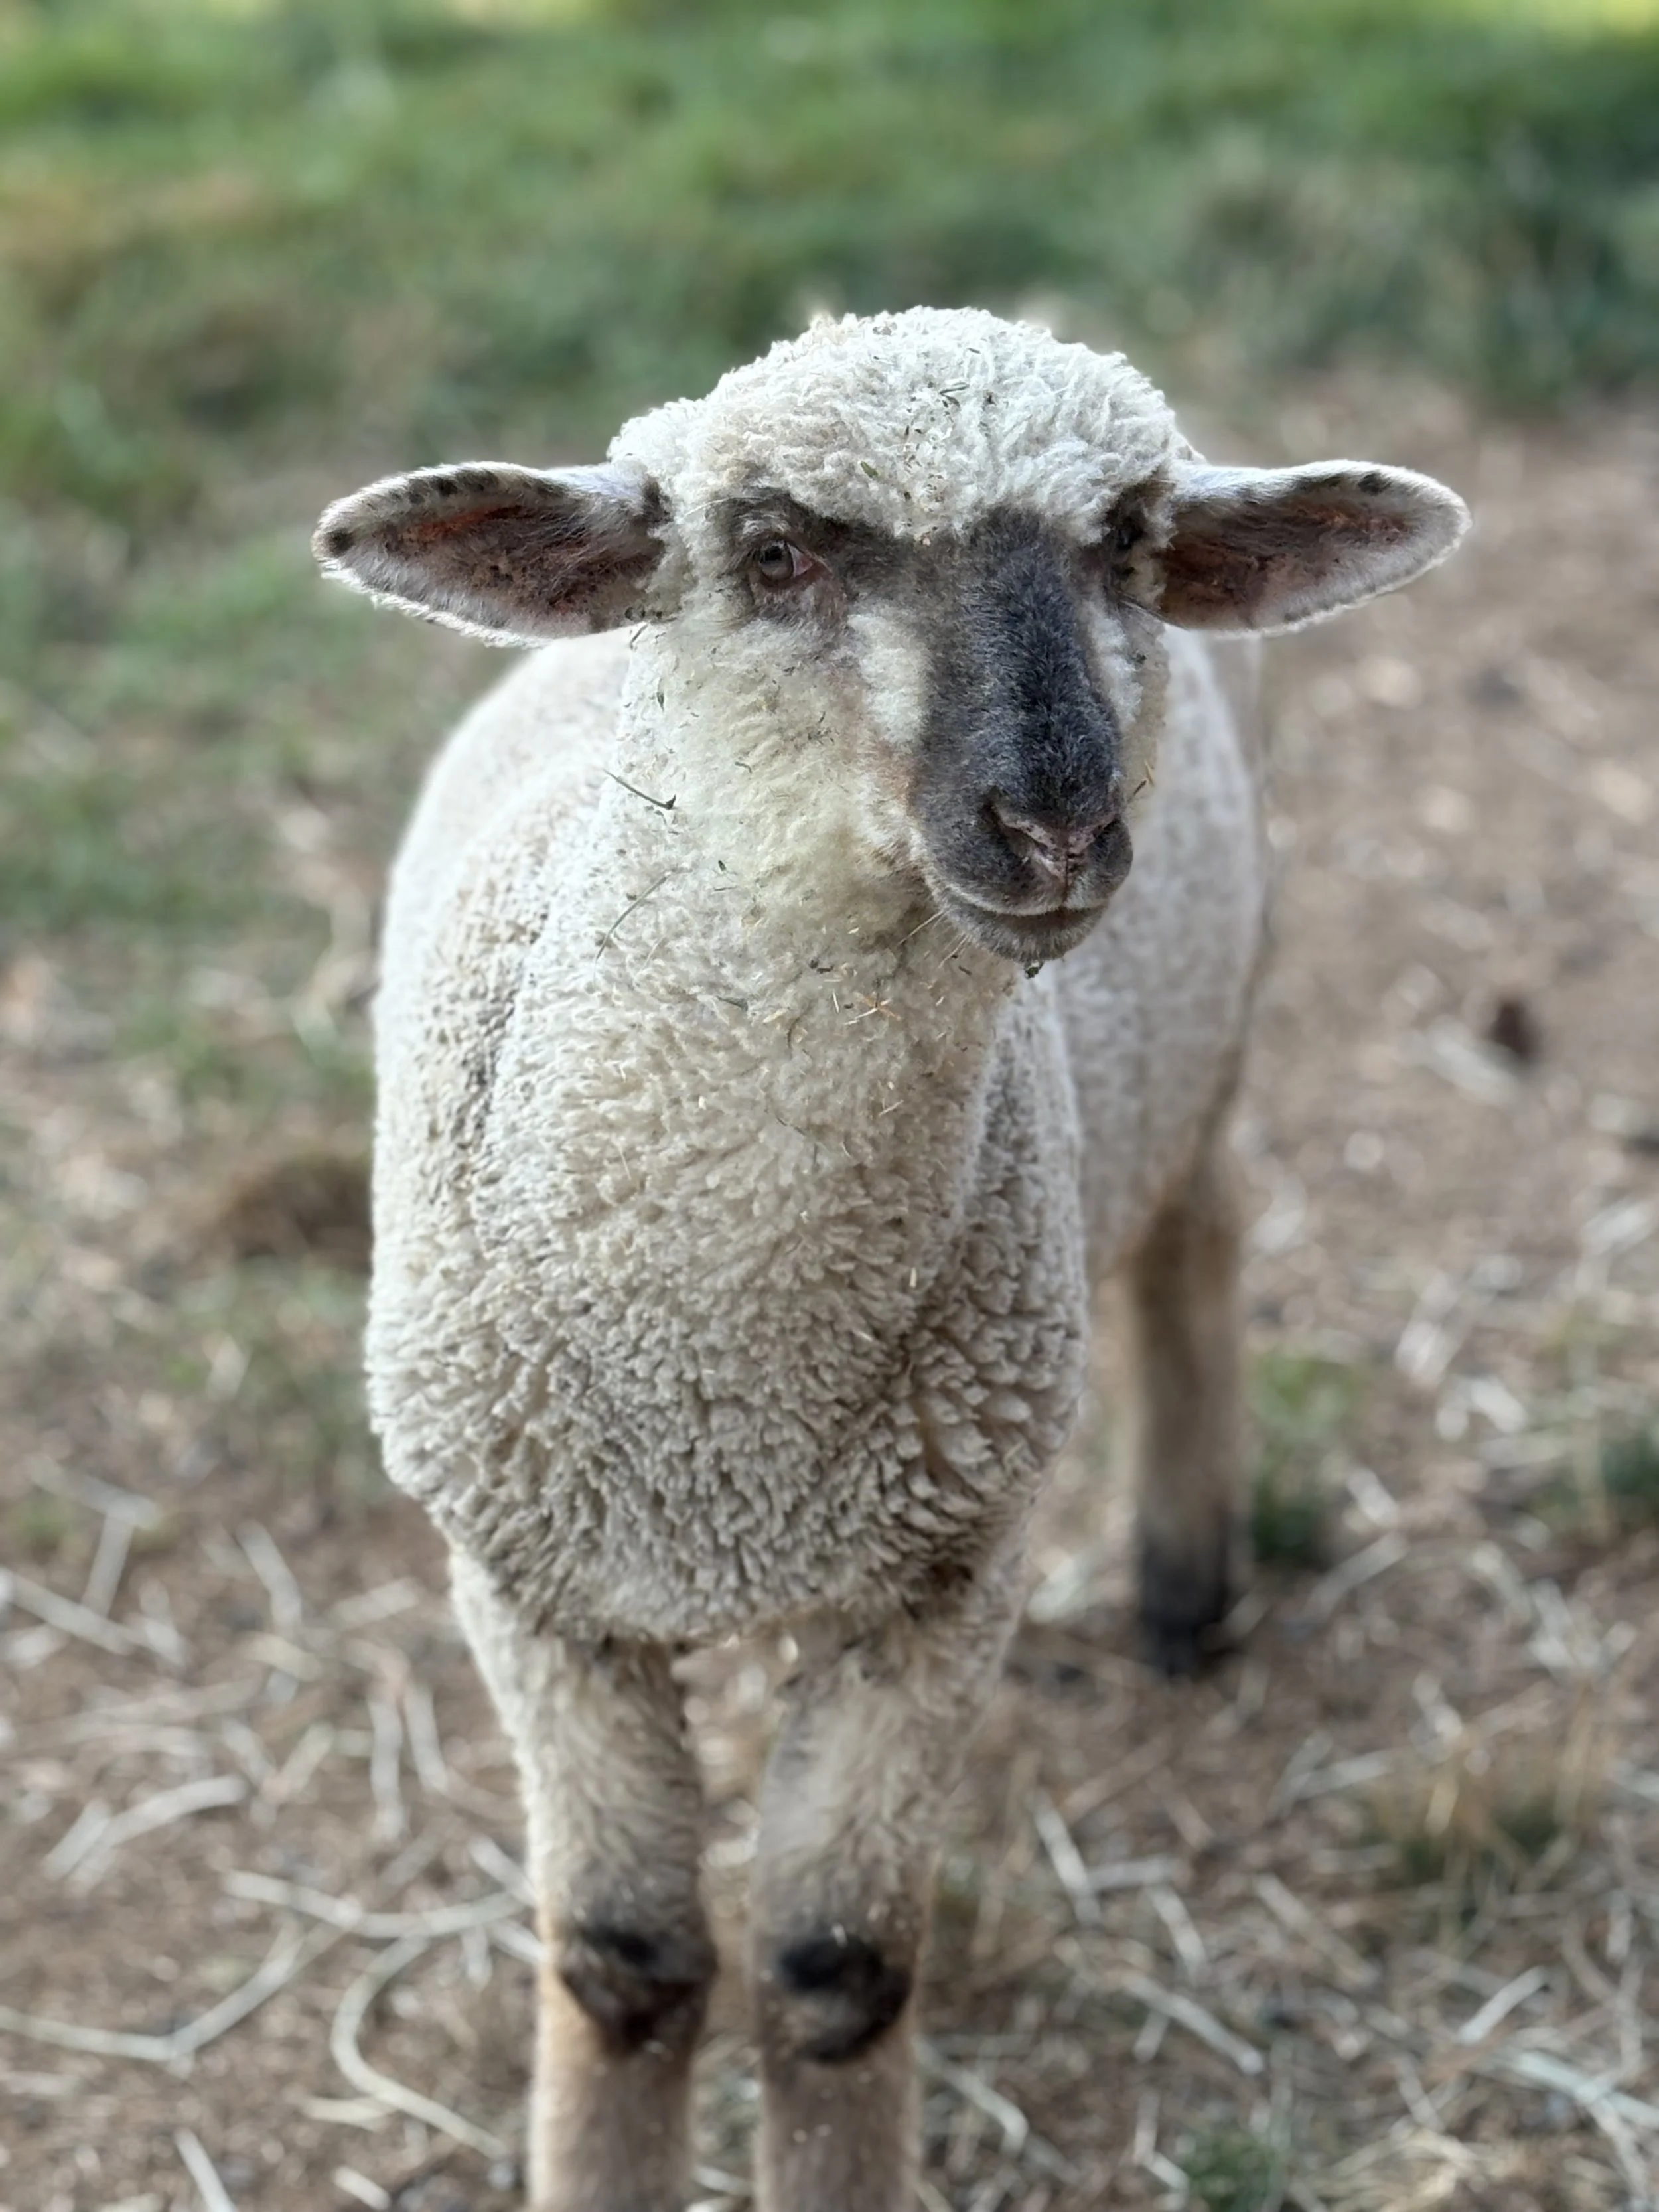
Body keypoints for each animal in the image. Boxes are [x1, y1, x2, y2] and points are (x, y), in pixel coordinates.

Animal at [313, 306, 1467, 2212]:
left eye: (1126, 544)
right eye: (773, 553)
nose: (1057, 825)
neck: (728, 1395)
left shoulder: (941, 1573)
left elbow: (833, 1969)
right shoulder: (530, 1583)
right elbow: (627, 1965)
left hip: (1215, 1033)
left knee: (1199, 1241)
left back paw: (1182, 1581)